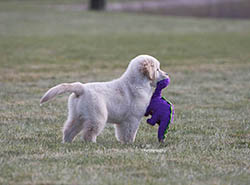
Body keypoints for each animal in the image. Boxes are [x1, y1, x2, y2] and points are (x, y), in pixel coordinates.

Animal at [40, 54, 169, 143]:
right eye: (157, 69)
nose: (167, 74)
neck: (137, 83)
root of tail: (81, 88)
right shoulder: (132, 118)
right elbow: (130, 132)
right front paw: (129, 143)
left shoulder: (123, 121)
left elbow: (122, 133)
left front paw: (123, 143)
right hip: (97, 116)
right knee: (88, 133)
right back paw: (92, 144)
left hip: (77, 116)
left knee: (69, 129)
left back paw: (67, 142)